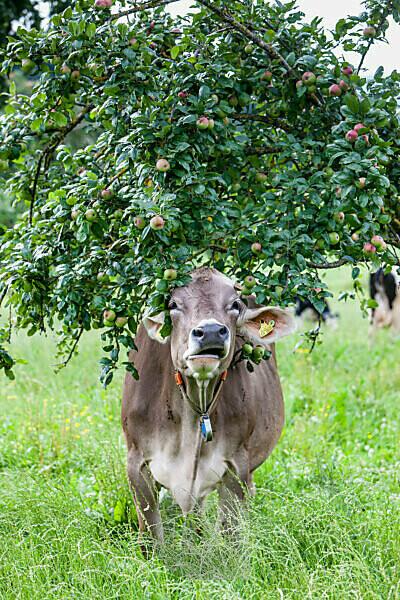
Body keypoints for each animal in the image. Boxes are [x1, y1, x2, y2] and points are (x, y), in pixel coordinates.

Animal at [122, 268, 296, 540]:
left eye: (235, 304)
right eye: (173, 304)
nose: (212, 331)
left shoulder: (236, 465)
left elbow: (231, 532)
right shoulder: (136, 461)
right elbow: (152, 538)